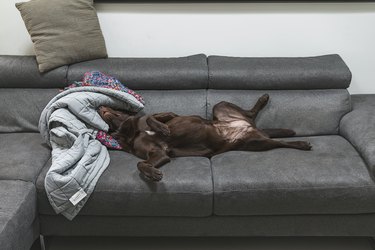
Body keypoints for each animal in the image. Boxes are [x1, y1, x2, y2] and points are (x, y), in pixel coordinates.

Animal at [99, 94, 312, 181]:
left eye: (113, 105)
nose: (100, 106)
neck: (132, 130)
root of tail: (248, 126)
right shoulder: (159, 153)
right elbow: (140, 163)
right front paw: (151, 173)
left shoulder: (170, 115)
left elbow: (152, 117)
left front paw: (162, 128)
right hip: (254, 142)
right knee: (273, 139)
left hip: (221, 105)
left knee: (268, 130)